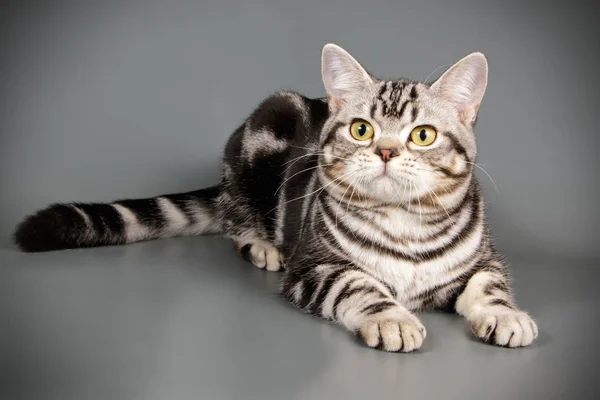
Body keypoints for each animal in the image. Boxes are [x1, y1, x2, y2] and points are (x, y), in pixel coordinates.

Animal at [14, 42, 540, 352]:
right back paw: (263, 245)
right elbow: (361, 286)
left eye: (423, 135)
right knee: (233, 220)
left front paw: (504, 314)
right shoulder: (317, 267)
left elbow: (490, 284)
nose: (387, 150)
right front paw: (393, 318)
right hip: (260, 136)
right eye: (361, 129)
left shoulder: (486, 259)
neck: (404, 225)